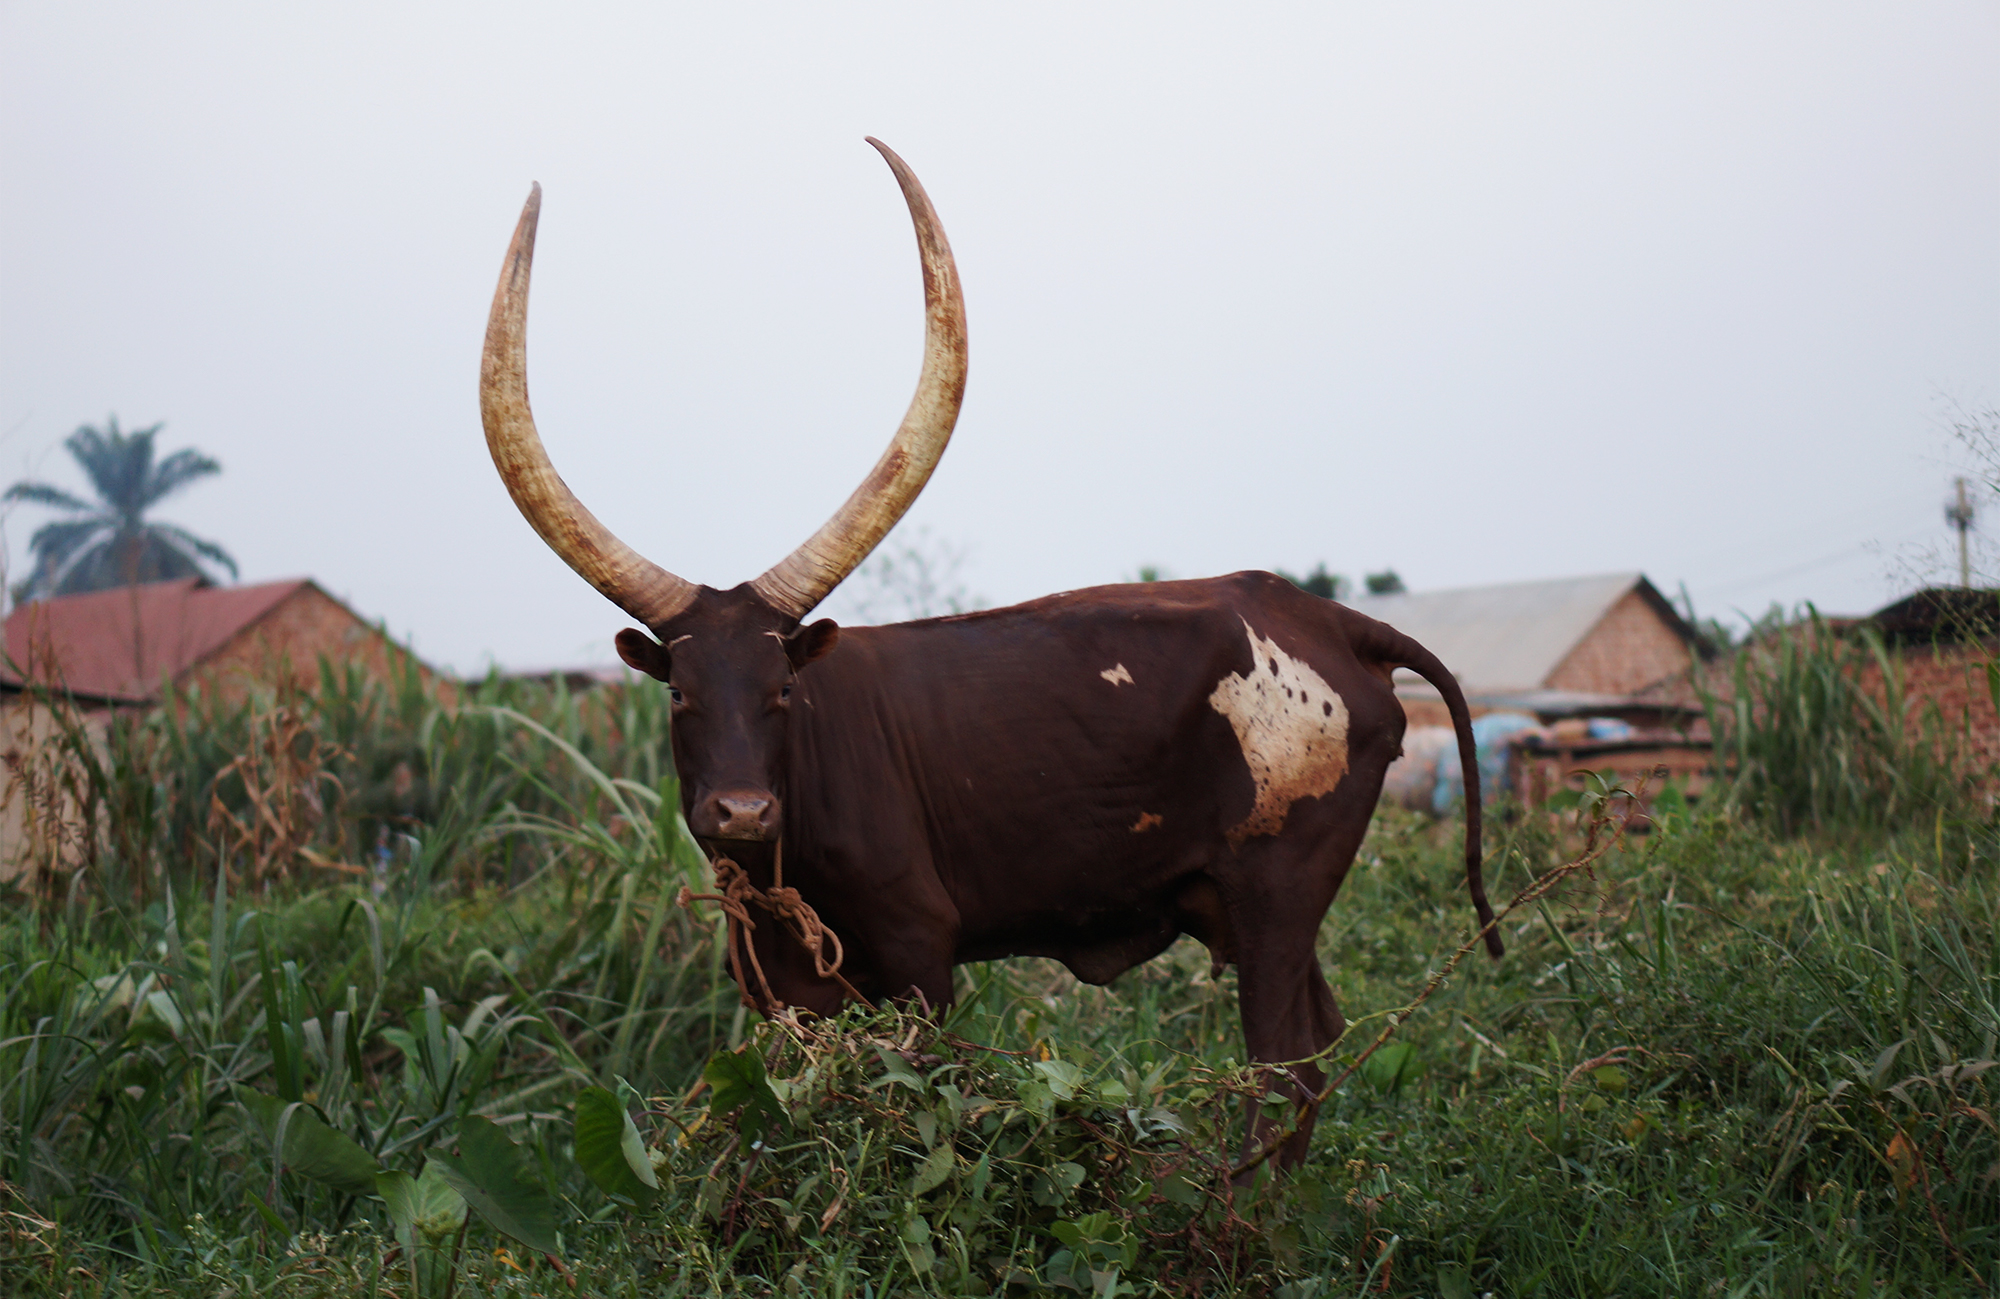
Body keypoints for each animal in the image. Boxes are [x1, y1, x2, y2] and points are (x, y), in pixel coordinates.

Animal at [478, 139, 1499, 1166]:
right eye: (681, 694)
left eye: (782, 692)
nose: (741, 811)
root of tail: (1330, 618)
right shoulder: (782, 987)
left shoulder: (920, 952)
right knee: (1316, 1055)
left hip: (1277, 893)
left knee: (1283, 1066)